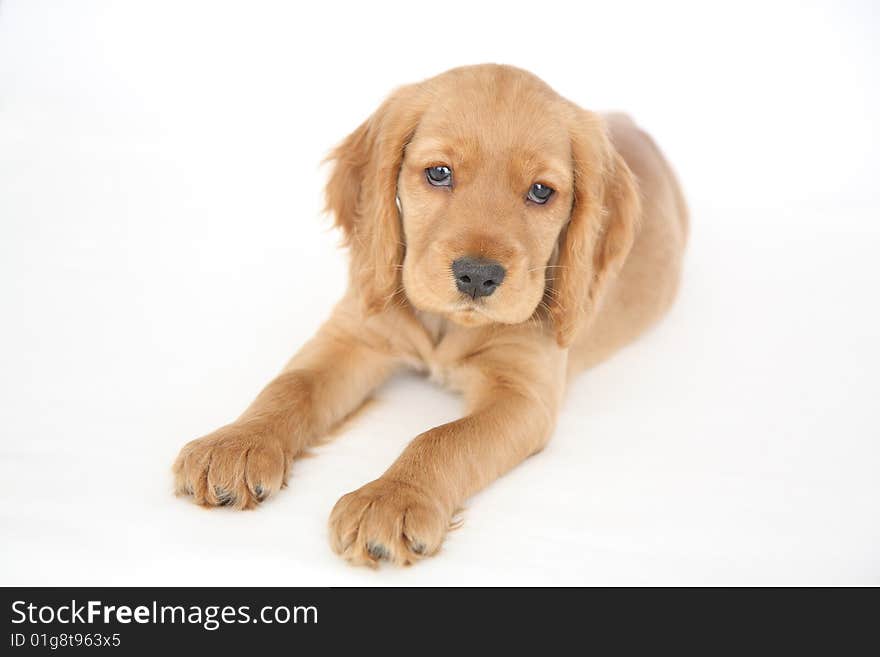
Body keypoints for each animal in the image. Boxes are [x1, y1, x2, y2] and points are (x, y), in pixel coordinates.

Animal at [172, 68, 692, 568]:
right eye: (439, 173)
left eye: (542, 191)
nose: (478, 275)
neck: (447, 326)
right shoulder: (356, 334)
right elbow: (291, 385)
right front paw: (236, 443)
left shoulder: (523, 392)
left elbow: (442, 438)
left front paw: (391, 500)